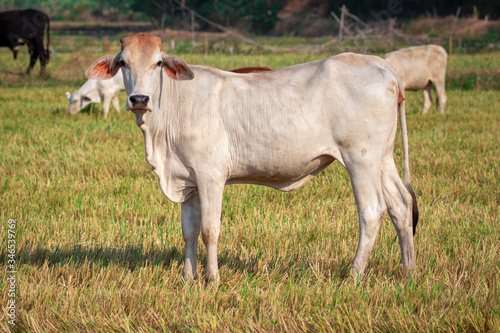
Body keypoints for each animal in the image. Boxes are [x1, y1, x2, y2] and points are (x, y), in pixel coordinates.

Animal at [86, 33, 418, 282]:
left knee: (372, 211)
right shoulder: (188, 182)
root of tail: (381, 64)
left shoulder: (211, 176)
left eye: (157, 63)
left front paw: (212, 278)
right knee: (401, 206)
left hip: (360, 160)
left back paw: (354, 275)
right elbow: (189, 232)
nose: (139, 99)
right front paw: (187, 277)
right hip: (382, 159)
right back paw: (408, 271)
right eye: (123, 62)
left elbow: (209, 230)